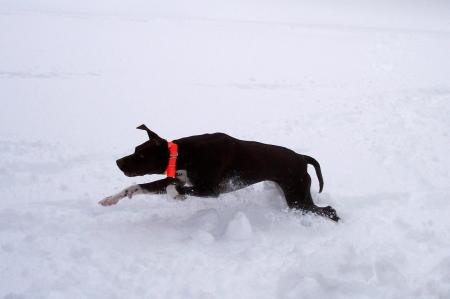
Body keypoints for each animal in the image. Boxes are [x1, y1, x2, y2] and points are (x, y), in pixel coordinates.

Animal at [98, 125, 338, 223]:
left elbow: (173, 188)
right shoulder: (179, 178)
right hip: (292, 195)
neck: (185, 154)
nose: (118, 162)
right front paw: (110, 199)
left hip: (298, 198)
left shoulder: (210, 190)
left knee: (329, 210)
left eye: (140, 154)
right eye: (135, 149)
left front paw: (178, 196)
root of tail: (302, 158)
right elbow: (137, 187)